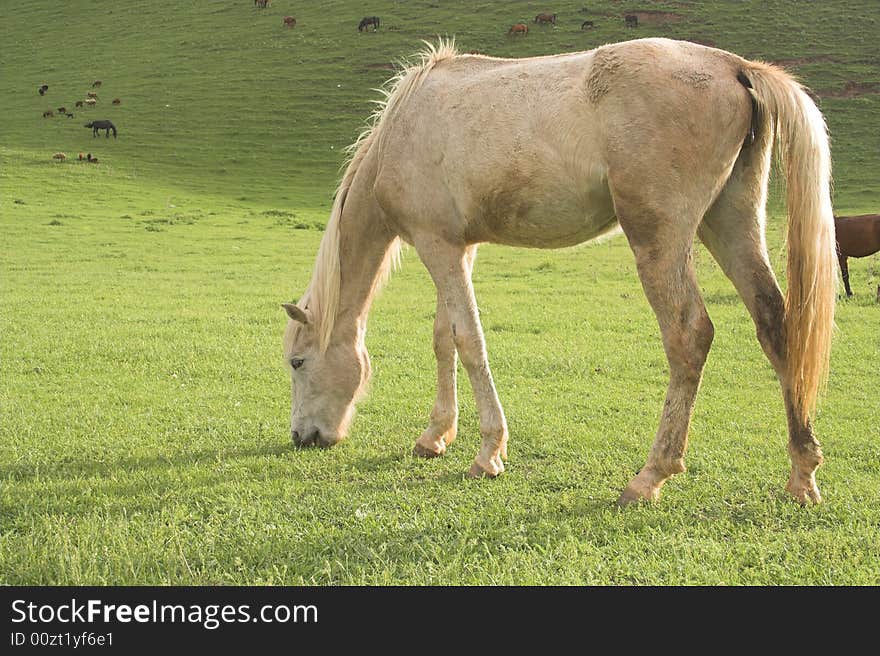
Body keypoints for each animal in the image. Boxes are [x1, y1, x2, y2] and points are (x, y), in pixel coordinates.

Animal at [278, 41, 836, 508]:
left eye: (297, 362)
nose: (303, 437)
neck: (406, 124)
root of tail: (734, 67)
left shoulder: (437, 246)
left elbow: (469, 341)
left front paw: (489, 453)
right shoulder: (459, 248)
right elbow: (445, 338)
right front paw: (436, 436)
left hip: (662, 238)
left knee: (689, 337)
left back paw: (651, 475)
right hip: (730, 222)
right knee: (775, 324)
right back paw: (802, 473)